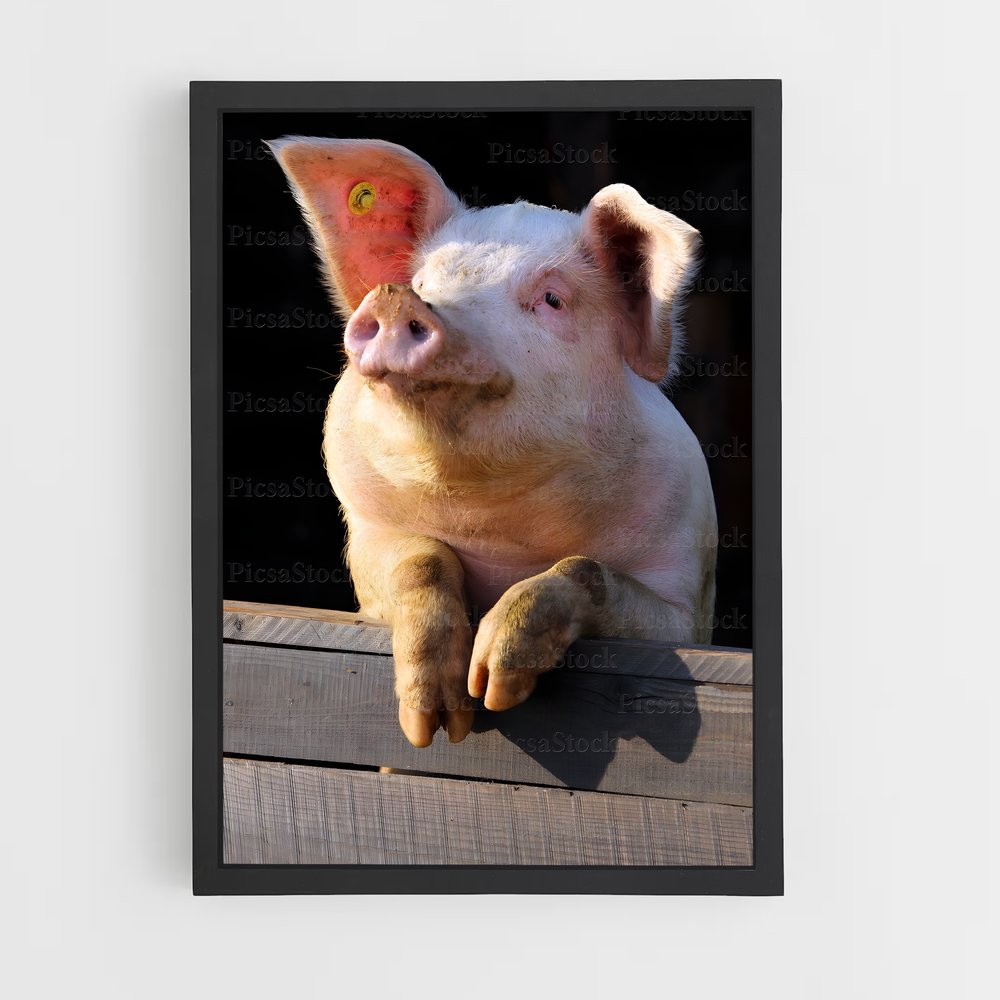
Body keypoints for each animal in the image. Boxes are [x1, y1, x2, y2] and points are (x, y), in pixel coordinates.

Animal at [267, 136, 717, 748]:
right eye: (424, 284)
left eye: (552, 299)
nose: (397, 299)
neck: (494, 521)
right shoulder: (368, 534)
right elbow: (421, 559)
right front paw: (433, 726)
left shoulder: (682, 596)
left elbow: (584, 567)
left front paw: (494, 686)